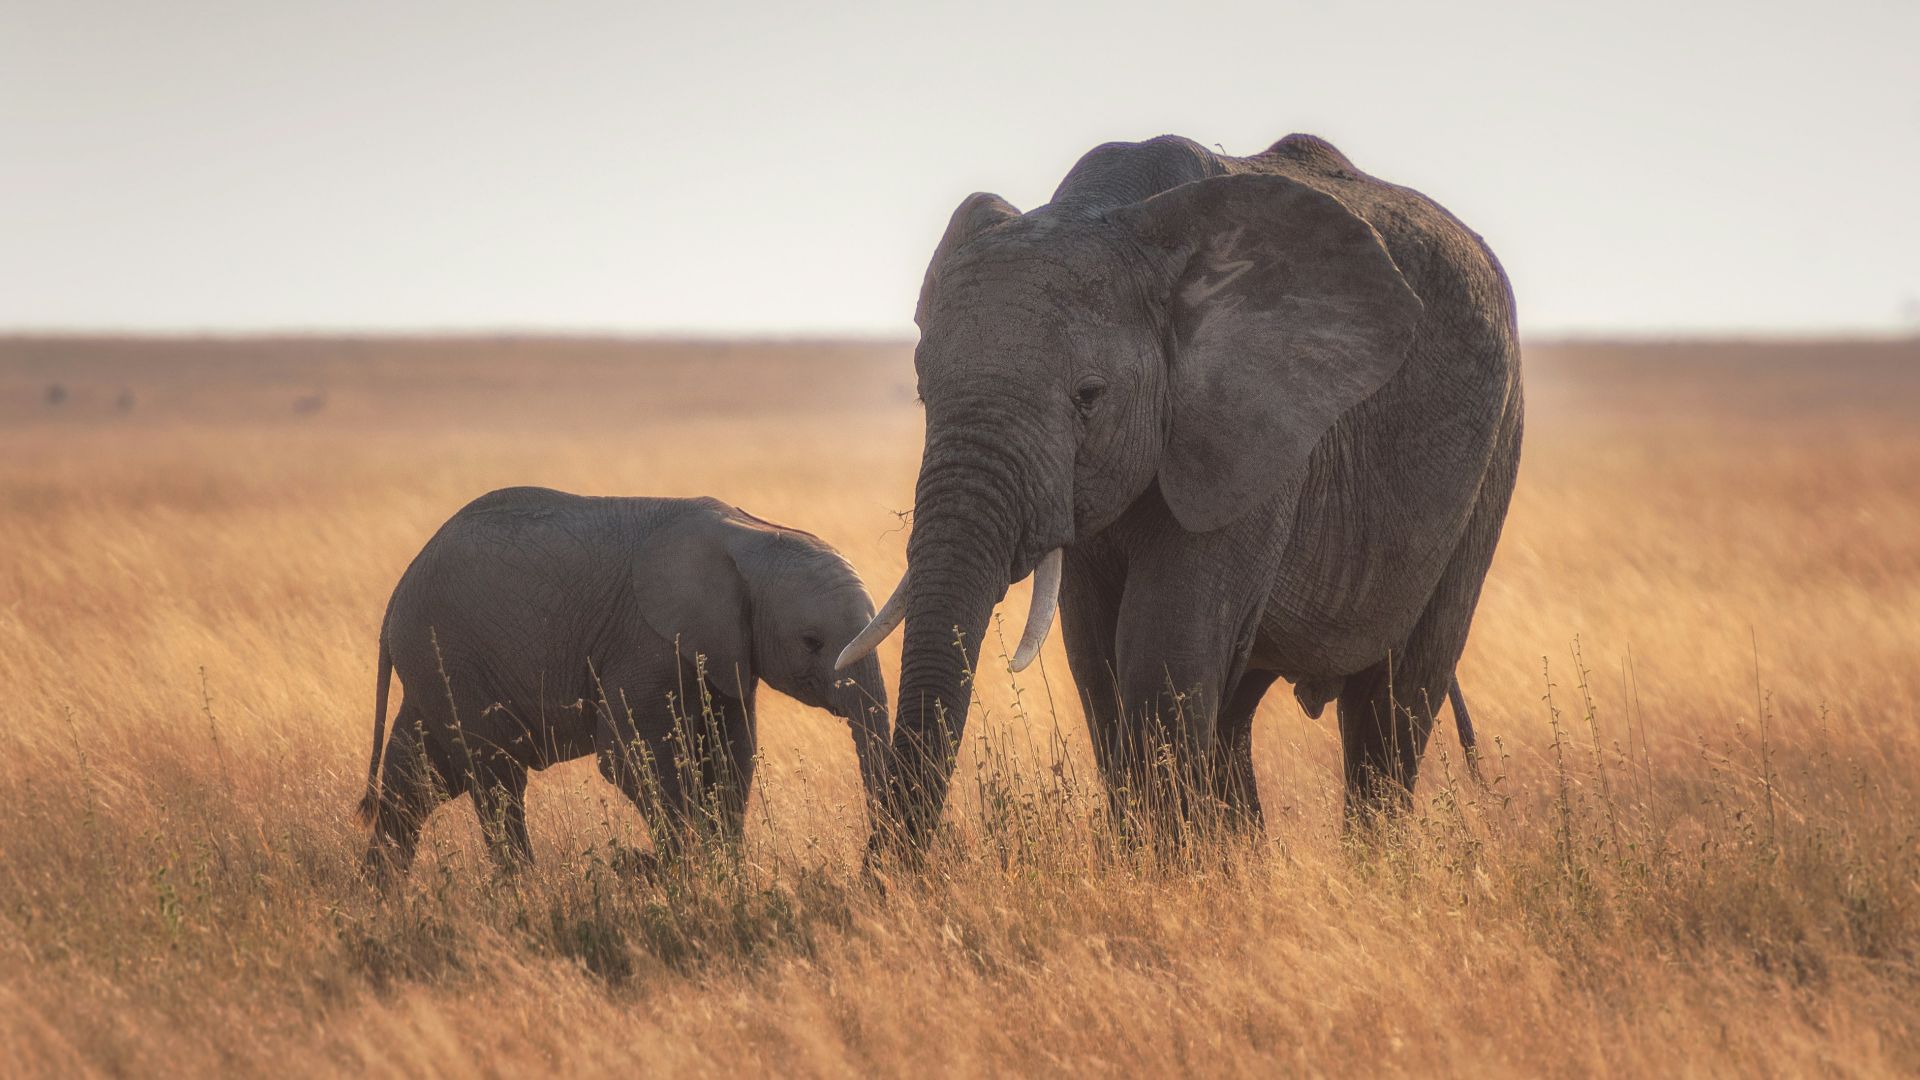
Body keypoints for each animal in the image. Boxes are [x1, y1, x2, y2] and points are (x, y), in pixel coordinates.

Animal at [357, 487, 891, 874]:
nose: (872, 867)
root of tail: (395, 597)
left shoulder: (724, 652)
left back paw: (382, 896)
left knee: (416, 780)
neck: (753, 535)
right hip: (450, 657)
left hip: (435, 668)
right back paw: (524, 891)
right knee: (495, 777)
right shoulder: (643, 641)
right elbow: (631, 758)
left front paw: (725, 873)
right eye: (811, 642)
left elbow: (730, 757)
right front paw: (684, 873)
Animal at [838, 133, 1522, 841]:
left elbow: (1162, 651)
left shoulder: (1253, 427)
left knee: (1394, 702)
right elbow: (1098, 659)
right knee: (1237, 710)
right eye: (923, 392)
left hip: (1494, 451)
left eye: (1089, 397)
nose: (888, 869)